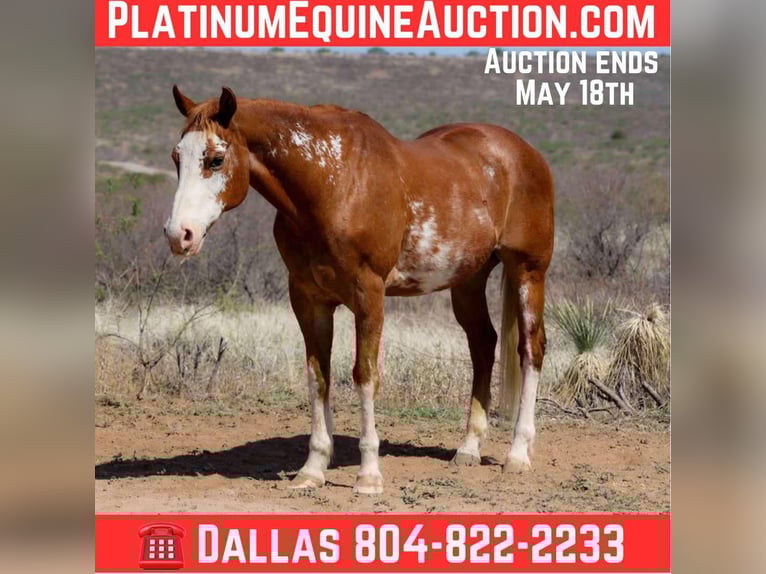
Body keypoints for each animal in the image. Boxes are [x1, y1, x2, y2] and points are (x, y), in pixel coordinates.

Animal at [164, 86, 554, 494]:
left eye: (216, 159)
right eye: (177, 157)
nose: (179, 235)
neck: (333, 183)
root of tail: (524, 152)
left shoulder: (369, 294)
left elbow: (365, 374)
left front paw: (368, 475)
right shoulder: (309, 299)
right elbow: (318, 377)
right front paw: (312, 470)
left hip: (528, 271)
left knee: (531, 349)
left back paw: (518, 454)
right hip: (468, 280)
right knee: (483, 344)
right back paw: (468, 449)